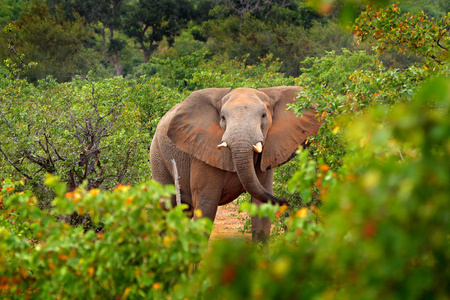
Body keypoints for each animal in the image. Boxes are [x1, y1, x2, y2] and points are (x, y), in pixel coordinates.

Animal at [149, 85, 322, 245]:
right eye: (223, 117)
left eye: (263, 115)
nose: (286, 201)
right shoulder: (202, 154)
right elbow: (206, 207)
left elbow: (261, 210)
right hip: (158, 154)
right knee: (166, 207)